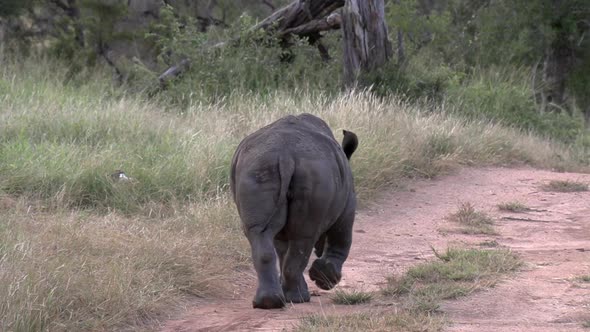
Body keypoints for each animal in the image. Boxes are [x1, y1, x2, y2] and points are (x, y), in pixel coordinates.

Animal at [231, 113, 360, 308]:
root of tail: (285, 156)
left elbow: (282, 248)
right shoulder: (347, 206)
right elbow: (341, 239)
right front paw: (325, 280)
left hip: (256, 168)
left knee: (259, 233)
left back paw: (268, 302)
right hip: (313, 172)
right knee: (304, 237)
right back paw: (298, 298)